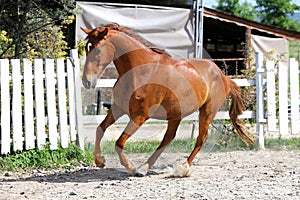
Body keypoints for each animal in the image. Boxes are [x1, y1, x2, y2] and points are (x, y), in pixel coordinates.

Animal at [79, 23, 253, 177]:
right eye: (87, 48)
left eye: (98, 49)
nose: (87, 81)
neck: (141, 70)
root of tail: (223, 77)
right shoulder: (118, 108)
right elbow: (100, 129)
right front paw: (100, 161)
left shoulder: (140, 116)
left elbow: (119, 142)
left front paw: (130, 167)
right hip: (176, 114)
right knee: (168, 138)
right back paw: (145, 167)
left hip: (207, 111)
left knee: (201, 139)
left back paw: (182, 169)